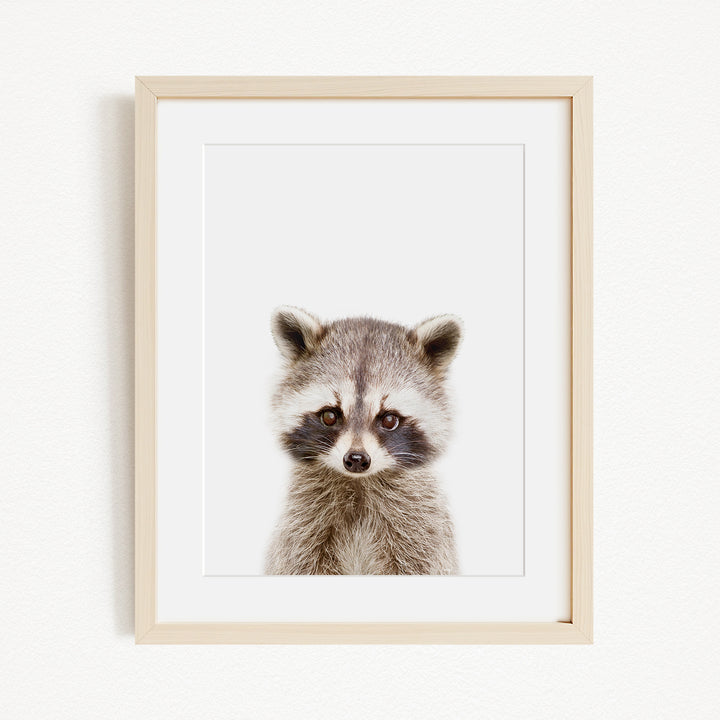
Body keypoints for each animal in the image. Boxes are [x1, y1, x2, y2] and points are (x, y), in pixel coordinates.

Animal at [264, 306, 462, 575]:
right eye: (329, 416)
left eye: (389, 419)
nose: (357, 459)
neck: (358, 484)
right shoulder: (301, 527)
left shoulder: (421, 529)